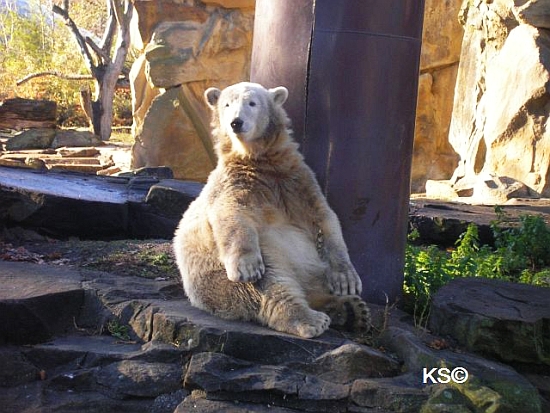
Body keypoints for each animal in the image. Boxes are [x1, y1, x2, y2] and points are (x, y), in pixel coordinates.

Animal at [173, 82, 369, 338]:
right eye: (227, 104)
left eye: (252, 103)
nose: (236, 122)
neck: (259, 161)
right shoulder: (232, 184)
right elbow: (232, 216)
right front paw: (247, 269)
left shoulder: (296, 181)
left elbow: (325, 218)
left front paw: (347, 280)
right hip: (232, 268)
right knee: (270, 284)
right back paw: (313, 319)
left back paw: (352, 309)